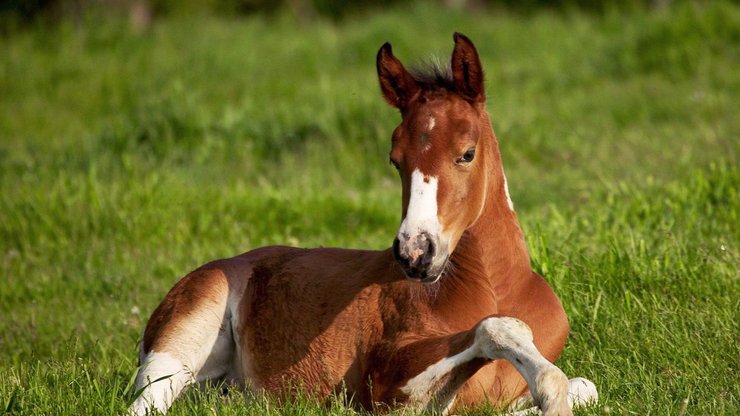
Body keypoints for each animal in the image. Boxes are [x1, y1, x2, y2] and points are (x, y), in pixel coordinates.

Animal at [130, 32, 600, 416]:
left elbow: (584, 386)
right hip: (180, 340)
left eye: (467, 153)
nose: (415, 252)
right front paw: (550, 395)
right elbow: (496, 328)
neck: (496, 287)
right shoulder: (387, 384)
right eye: (395, 160)